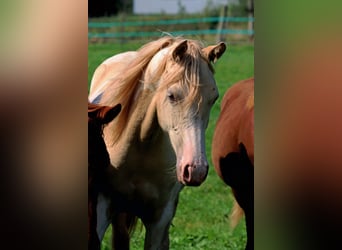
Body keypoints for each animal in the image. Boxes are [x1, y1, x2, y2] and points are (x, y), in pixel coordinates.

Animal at [88, 36, 227, 249]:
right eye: (171, 95)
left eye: (214, 98)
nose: (195, 169)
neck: (141, 147)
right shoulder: (100, 209)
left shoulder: (160, 221)